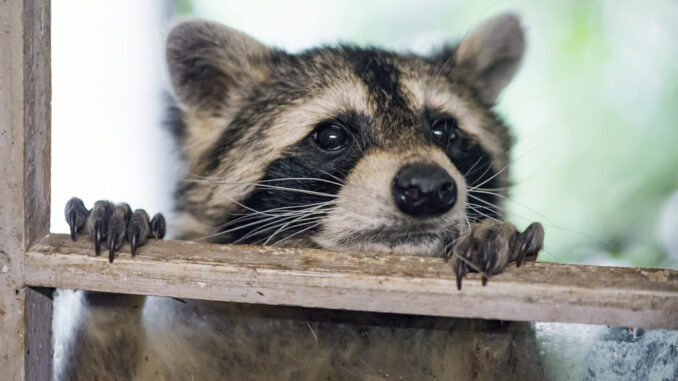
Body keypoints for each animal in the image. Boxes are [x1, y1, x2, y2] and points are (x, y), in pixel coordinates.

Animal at [61, 11, 544, 380]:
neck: (350, 317)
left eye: (444, 129)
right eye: (332, 135)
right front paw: (111, 300)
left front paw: (499, 317)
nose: (426, 188)